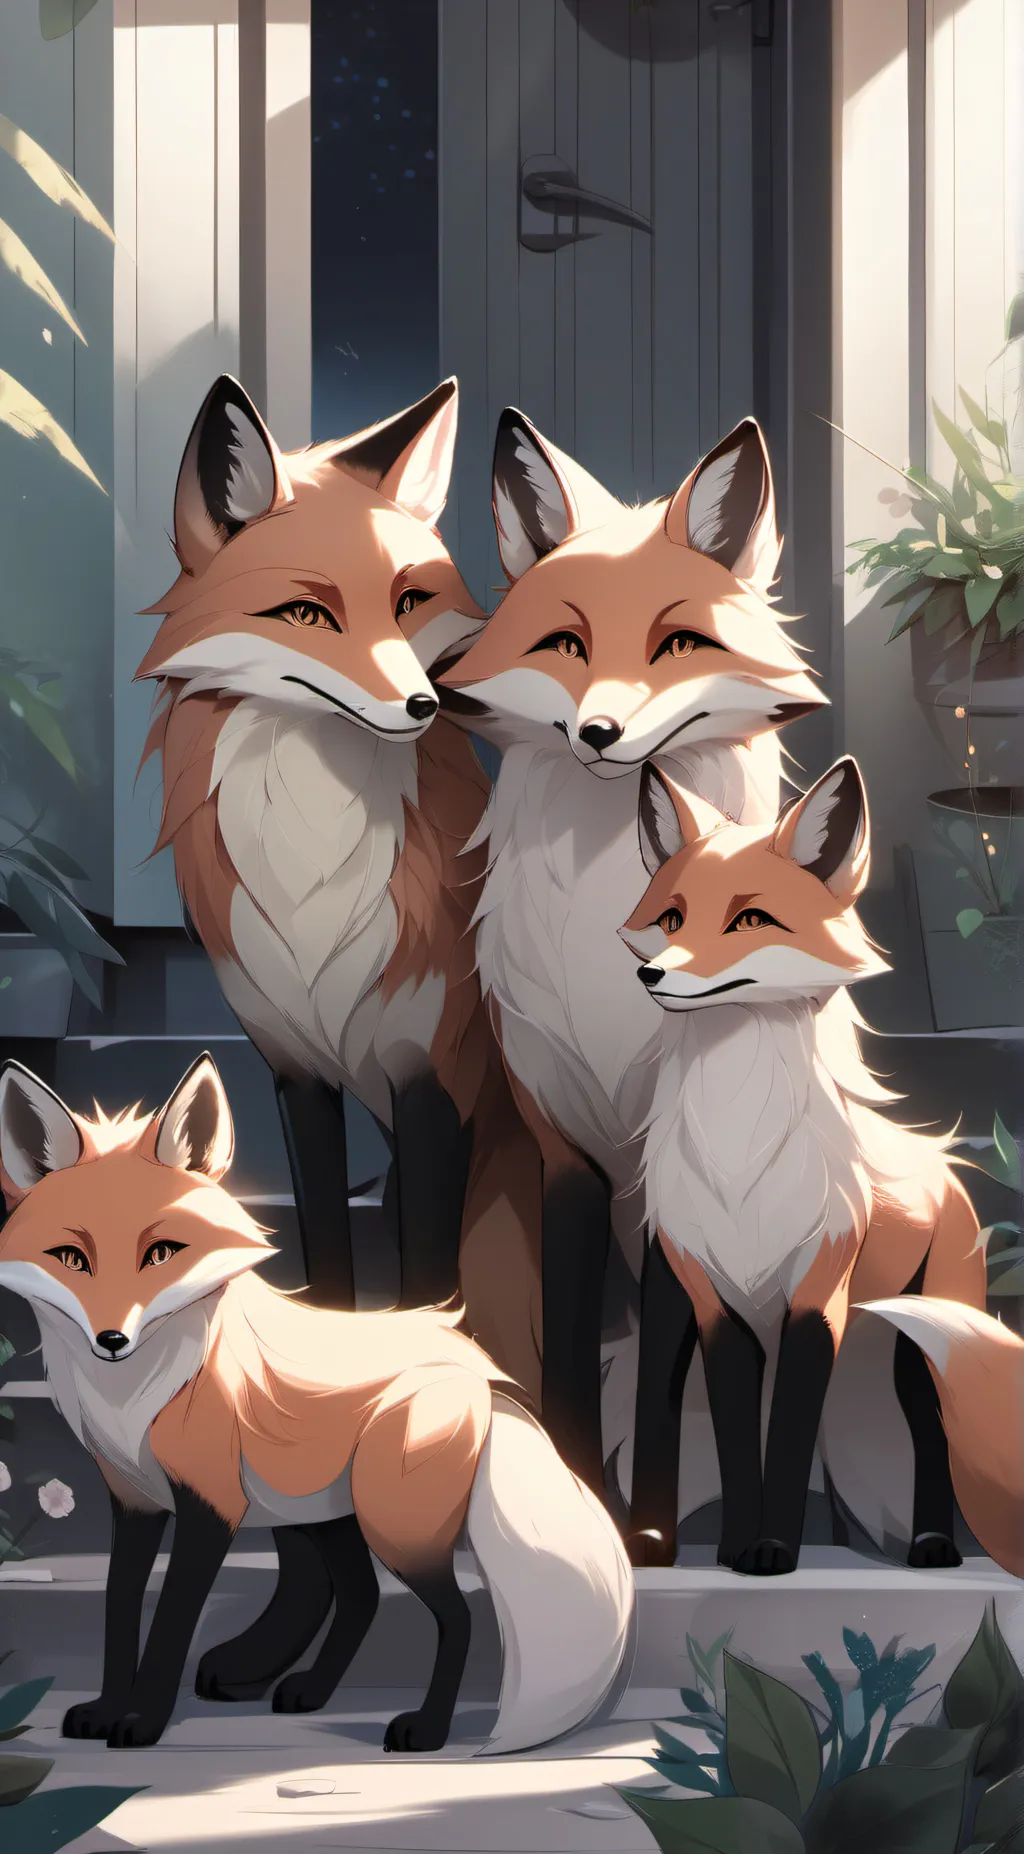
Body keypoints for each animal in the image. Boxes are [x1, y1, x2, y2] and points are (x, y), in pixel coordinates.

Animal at [0, 1055, 633, 1752]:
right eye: (70, 1258)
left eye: (161, 1253)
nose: (112, 1340)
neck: (132, 1401)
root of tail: (478, 1372)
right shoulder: (134, 1502)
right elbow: (119, 1611)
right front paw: (107, 1708)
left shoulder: (210, 1505)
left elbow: (169, 1621)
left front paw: (141, 1721)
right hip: (321, 1513)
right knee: (360, 1597)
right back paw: (310, 1692)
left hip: (392, 1525)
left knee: (458, 1617)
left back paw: (426, 1728)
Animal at [134, 374, 542, 1403]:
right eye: (308, 616)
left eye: (408, 602)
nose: (425, 706)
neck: (313, 872)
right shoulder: (298, 1076)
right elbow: (328, 1263)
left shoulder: (435, 1082)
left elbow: (429, 1284)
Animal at [438, 410, 828, 1494]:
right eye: (565, 644)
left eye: (678, 644)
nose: (601, 732)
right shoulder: (561, 1144)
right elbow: (575, 1348)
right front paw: (586, 1485)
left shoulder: (666, 1175)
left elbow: (661, 1362)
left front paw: (648, 1511)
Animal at [619, 753, 1023, 1579]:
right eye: (670, 918)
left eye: (749, 921)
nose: (655, 976)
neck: (740, 1158)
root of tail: (945, 1171)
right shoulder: (716, 1304)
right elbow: (734, 1427)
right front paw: (740, 1545)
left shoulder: (816, 1300)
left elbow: (790, 1434)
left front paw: (774, 1547)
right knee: (660, 1406)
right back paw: (656, 1545)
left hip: (922, 1345)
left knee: (932, 1433)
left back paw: (934, 1546)